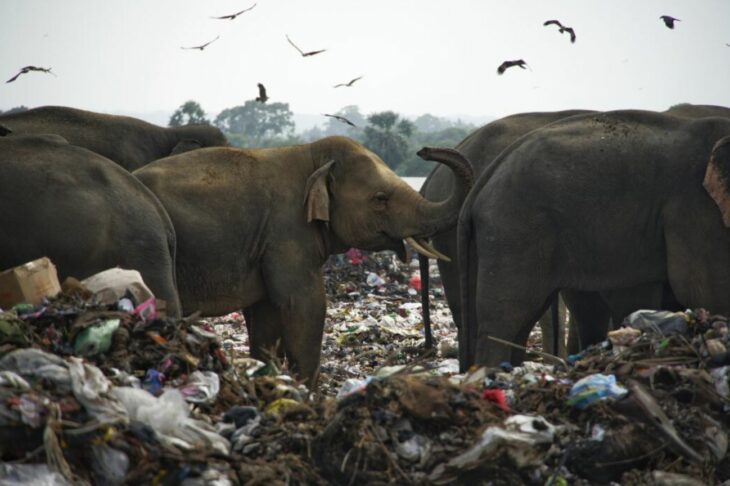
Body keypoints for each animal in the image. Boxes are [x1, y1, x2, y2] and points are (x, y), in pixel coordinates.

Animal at [134, 136, 472, 384]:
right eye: (380, 199)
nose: (424, 150)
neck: (311, 156)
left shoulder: (265, 245)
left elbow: (267, 313)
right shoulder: (287, 232)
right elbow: (304, 304)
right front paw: (306, 391)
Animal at [458, 110, 728, 368]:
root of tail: (485, 179)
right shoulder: (695, 205)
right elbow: (702, 290)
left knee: (527, 317)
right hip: (514, 228)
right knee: (505, 317)